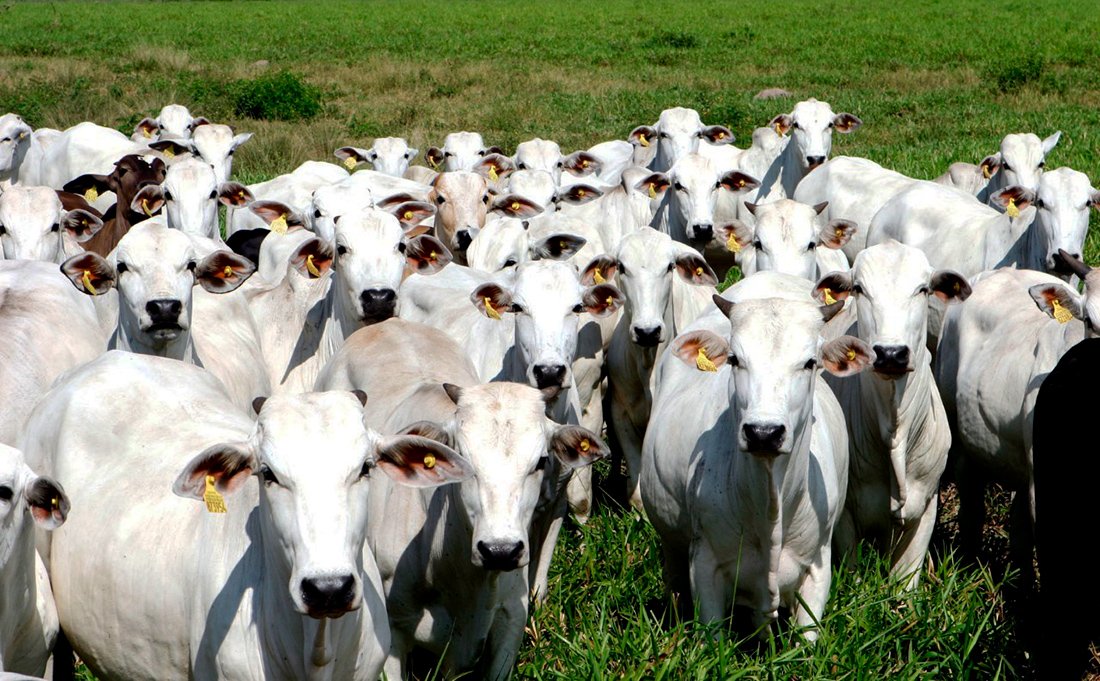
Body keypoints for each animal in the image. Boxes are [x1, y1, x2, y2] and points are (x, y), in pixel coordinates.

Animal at [315, 319, 605, 680]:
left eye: (540, 461)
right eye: (462, 457)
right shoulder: (393, 634)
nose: (500, 550)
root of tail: (388, 324)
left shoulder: (510, 621)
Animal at [640, 291, 869, 639]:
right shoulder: (705, 566)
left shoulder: (817, 567)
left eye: (810, 362)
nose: (764, 433)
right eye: (734, 359)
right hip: (672, 546)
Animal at [813, 241, 970, 588]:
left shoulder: (925, 508)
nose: (890, 354)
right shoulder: (845, 518)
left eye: (923, 289)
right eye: (859, 288)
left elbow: (904, 587)